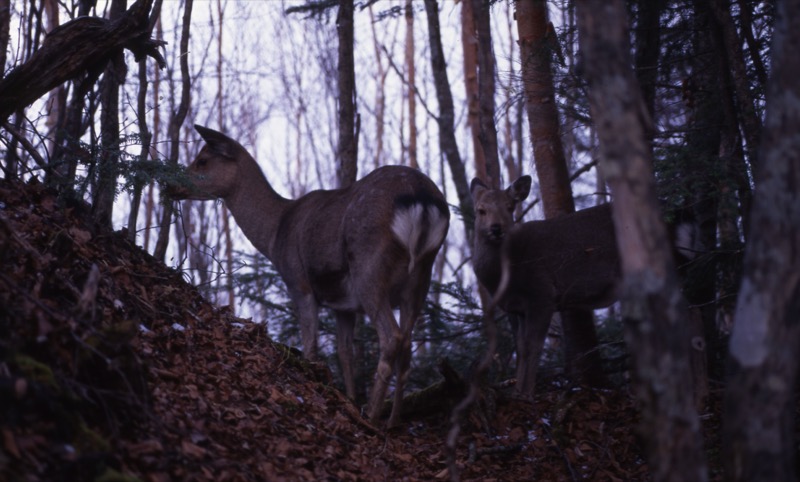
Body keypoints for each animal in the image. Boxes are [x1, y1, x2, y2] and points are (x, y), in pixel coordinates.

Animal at [170, 124, 450, 426]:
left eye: (202, 160)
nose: (171, 184)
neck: (276, 232)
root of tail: (421, 198)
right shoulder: (344, 305)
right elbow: (345, 352)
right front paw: (350, 398)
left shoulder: (298, 280)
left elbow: (310, 345)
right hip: (421, 275)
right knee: (407, 344)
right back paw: (394, 420)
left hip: (369, 266)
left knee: (392, 338)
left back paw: (373, 417)